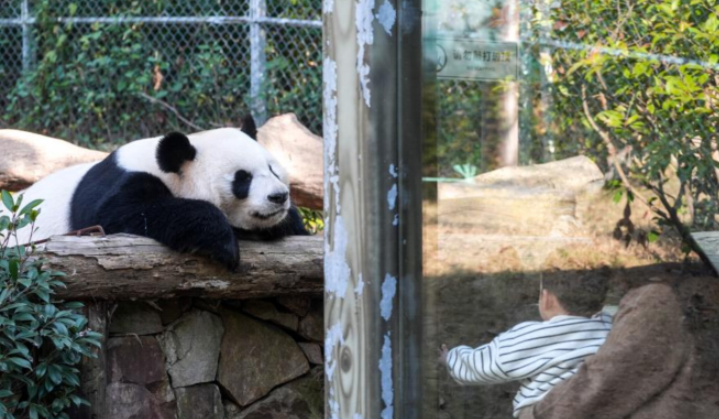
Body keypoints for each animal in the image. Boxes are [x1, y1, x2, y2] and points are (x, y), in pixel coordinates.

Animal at [8, 120, 306, 272]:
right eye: (242, 178)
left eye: (272, 169)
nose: (278, 197)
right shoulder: (122, 184)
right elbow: (126, 214)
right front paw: (225, 244)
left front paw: (289, 223)